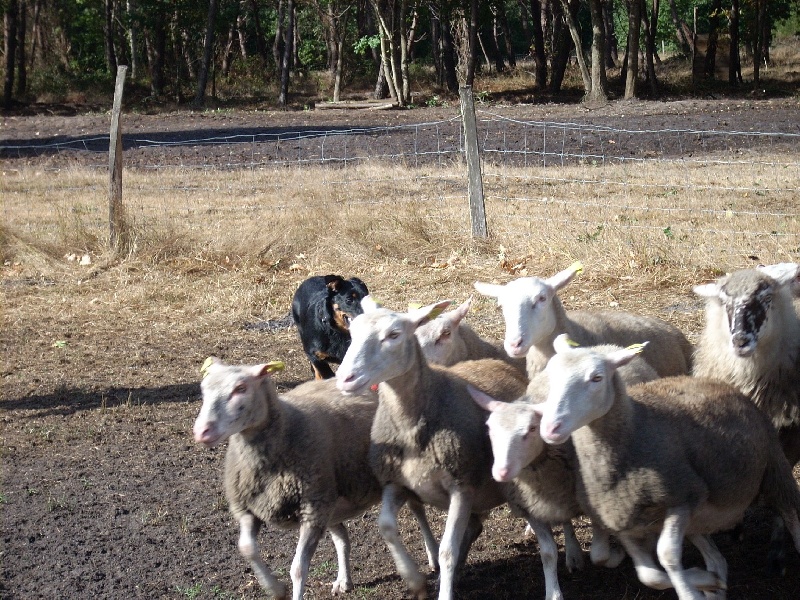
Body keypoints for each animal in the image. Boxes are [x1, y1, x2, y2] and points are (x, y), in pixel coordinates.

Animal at [194, 358, 438, 596]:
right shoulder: (248, 508)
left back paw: (433, 555)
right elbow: (246, 548)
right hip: (330, 501)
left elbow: (298, 569)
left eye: (241, 388)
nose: (201, 432)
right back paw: (344, 580)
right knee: (342, 537)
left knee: (418, 510)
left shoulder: (312, 508)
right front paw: (275, 589)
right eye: (203, 390)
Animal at [334, 298, 510, 600]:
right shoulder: (395, 482)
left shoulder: (462, 485)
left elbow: (448, 550)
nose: (345, 377)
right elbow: (386, 527)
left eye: (394, 335)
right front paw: (414, 580)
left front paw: (445, 588)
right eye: (352, 333)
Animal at [532, 336, 800, 596]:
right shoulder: (625, 522)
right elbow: (645, 574)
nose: (550, 428)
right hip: (698, 520)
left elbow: (667, 555)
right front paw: (704, 581)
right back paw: (714, 582)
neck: (634, 429)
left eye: (596, 377)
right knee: (718, 561)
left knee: (793, 519)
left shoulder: (682, 497)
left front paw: (690, 591)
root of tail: (716, 382)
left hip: (776, 471)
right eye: (551, 375)